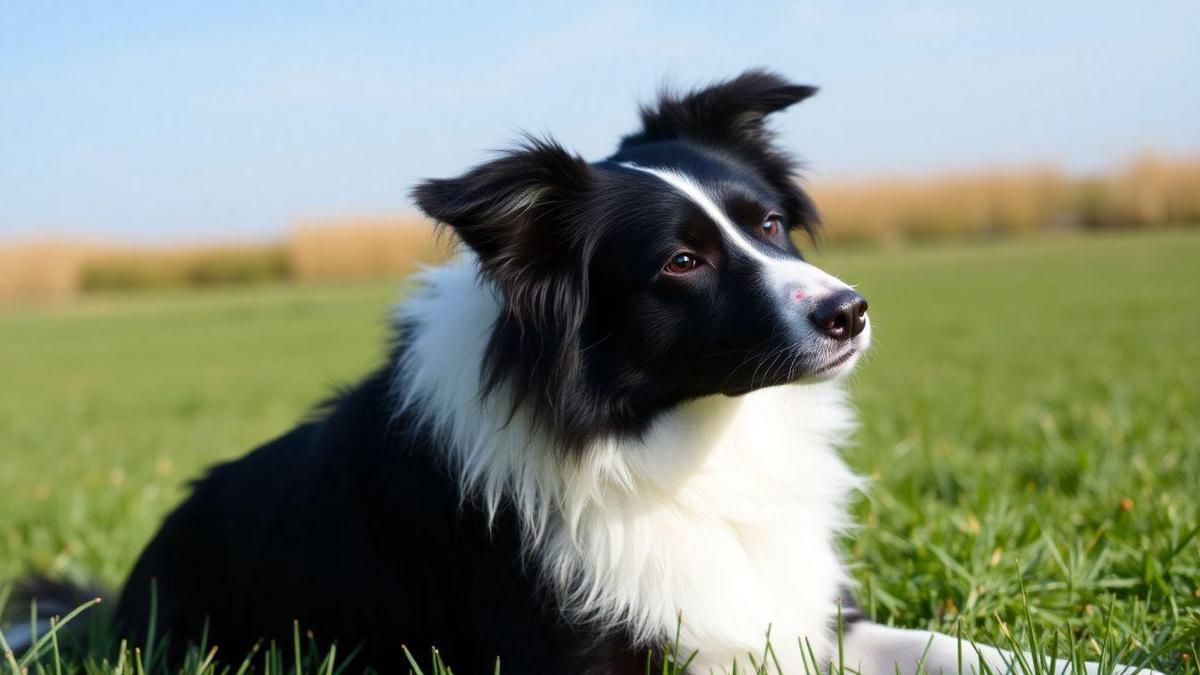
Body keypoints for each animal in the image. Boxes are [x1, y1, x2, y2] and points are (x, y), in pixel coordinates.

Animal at [16, 69, 1161, 672]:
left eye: (770, 223)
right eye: (681, 262)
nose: (849, 312)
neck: (685, 440)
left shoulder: (804, 615)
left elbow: (960, 650)